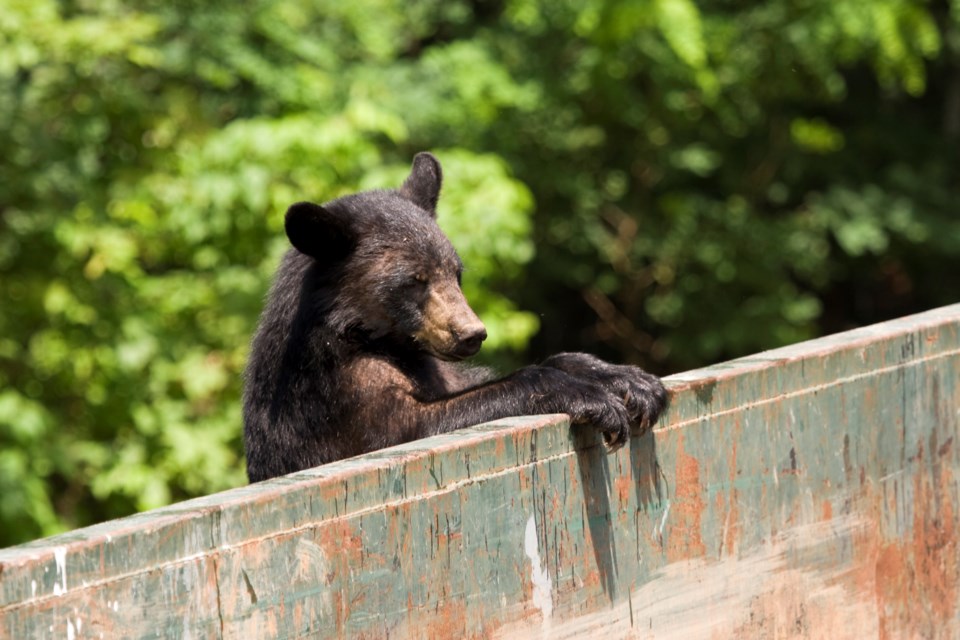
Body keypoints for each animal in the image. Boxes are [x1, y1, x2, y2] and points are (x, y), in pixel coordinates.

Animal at [244, 155, 664, 482]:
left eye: (456, 273)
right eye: (414, 280)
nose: (471, 333)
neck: (363, 337)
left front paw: (628, 380)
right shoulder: (340, 394)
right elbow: (413, 429)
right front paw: (589, 396)